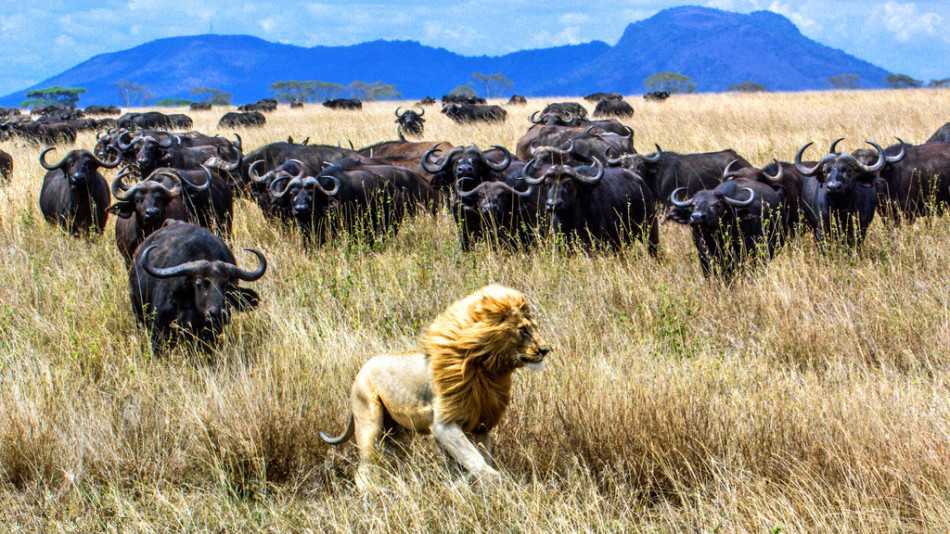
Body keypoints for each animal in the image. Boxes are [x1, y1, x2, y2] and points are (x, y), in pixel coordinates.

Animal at [322, 284, 552, 490]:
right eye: (523, 330)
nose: (545, 350)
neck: (488, 371)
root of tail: (360, 370)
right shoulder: (444, 425)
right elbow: (481, 466)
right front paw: (461, 486)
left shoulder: (481, 427)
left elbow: (480, 462)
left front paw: (457, 485)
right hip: (369, 423)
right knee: (363, 471)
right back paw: (376, 496)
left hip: (399, 433)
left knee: (388, 463)